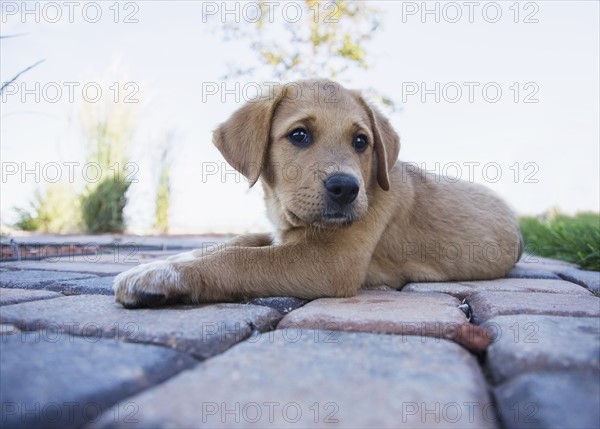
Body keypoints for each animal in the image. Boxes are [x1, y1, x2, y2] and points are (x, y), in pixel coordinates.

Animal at [112, 79, 520, 308]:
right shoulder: (281, 233)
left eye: (361, 142)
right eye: (299, 135)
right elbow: (232, 243)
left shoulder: (330, 262)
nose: (346, 188)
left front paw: (161, 277)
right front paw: (161, 262)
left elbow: (242, 259)